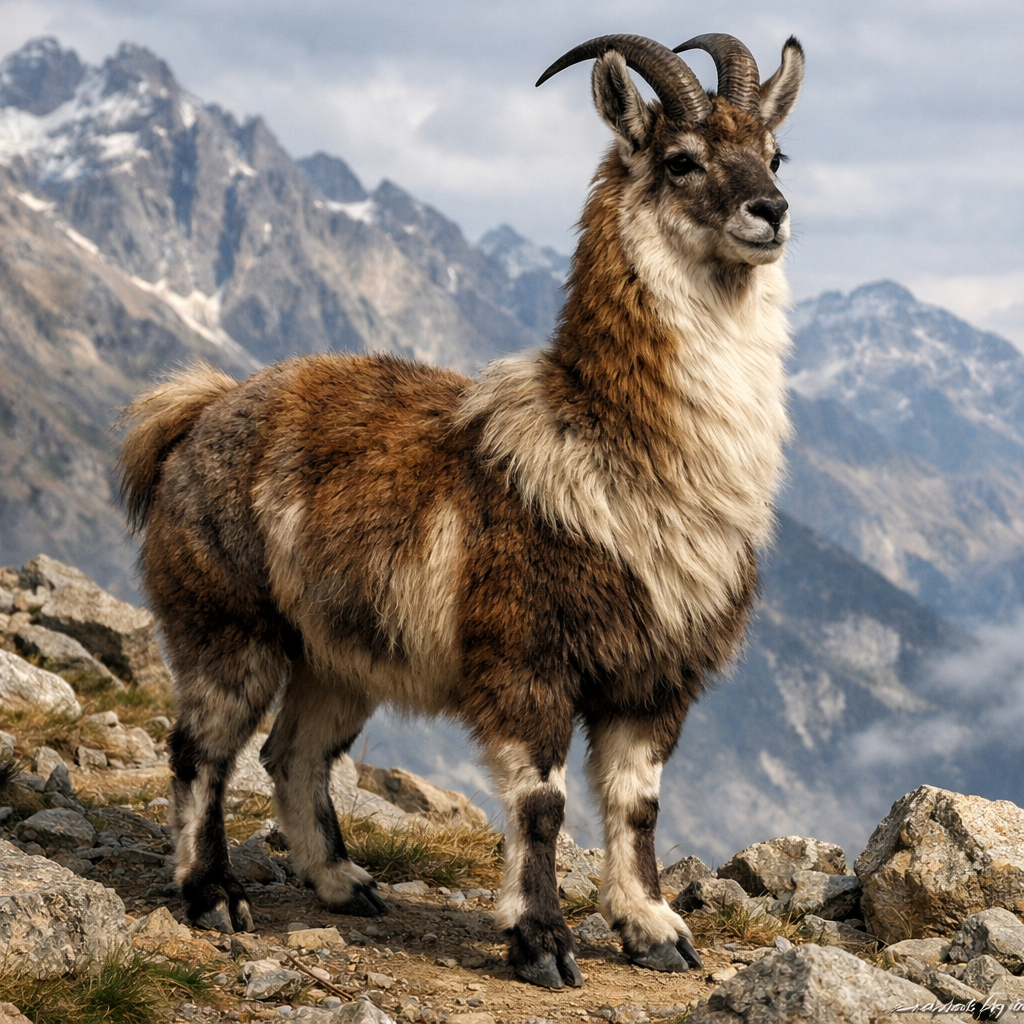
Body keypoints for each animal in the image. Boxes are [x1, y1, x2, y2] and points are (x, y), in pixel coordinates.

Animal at [117, 32, 803, 990]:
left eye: (776, 154)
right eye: (680, 159)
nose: (769, 211)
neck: (609, 451)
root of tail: (196, 411)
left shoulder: (654, 679)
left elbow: (637, 807)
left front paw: (654, 930)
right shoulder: (524, 662)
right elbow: (542, 805)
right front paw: (542, 943)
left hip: (339, 657)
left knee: (293, 752)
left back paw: (344, 884)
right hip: (226, 624)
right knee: (201, 749)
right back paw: (212, 895)